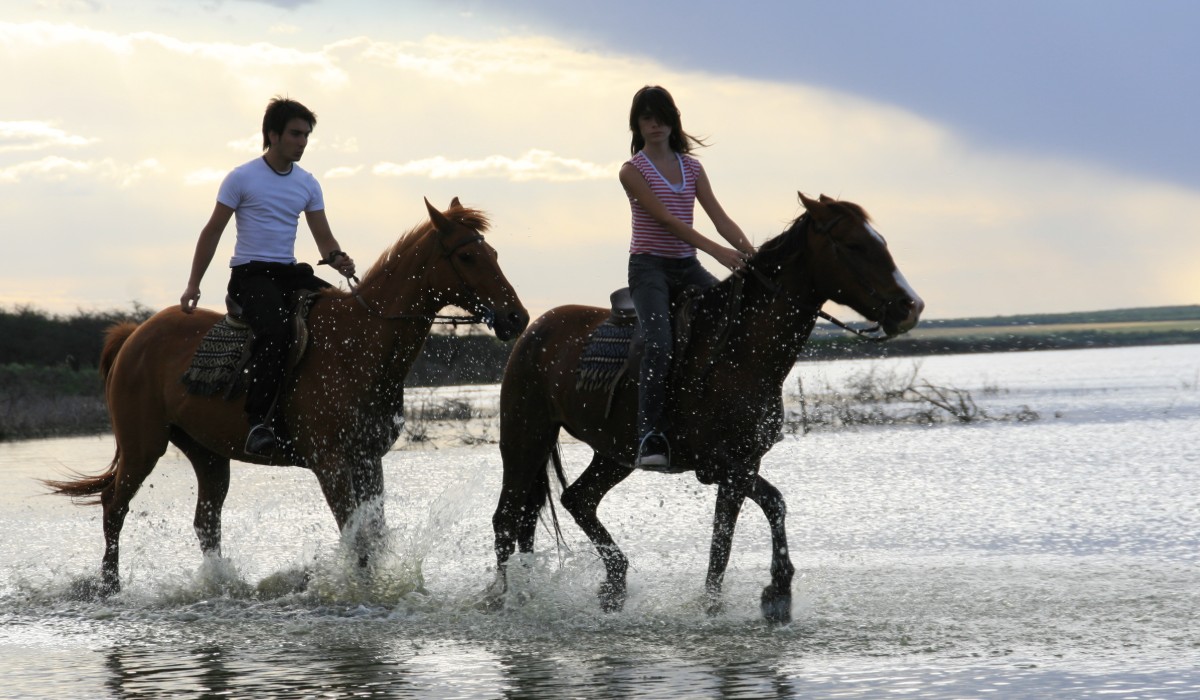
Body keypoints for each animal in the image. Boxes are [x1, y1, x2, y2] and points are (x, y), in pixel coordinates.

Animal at [46, 198, 525, 597]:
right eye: (467, 256)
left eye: (496, 255)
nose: (516, 318)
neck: (360, 342)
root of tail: (133, 336)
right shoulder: (331, 463)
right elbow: (355, 534)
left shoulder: (368, 459)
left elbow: (372, 533)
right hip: (143, 445)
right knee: (114, 507)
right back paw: (110, 588)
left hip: (207, 454)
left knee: (206, 523)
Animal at [487, 193, 926, 624]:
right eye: (855, 245)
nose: (911, 307)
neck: (740, 353)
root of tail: (535, 329)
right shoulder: (725, 466)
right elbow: (731, 538)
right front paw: (729, 606)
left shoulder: (742, 463)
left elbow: (759, 516)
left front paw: (770, 595)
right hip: (525, 437)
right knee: (508, 518)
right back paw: (504, 598)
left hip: (613, 453)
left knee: (577, 500)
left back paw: (611, 585)